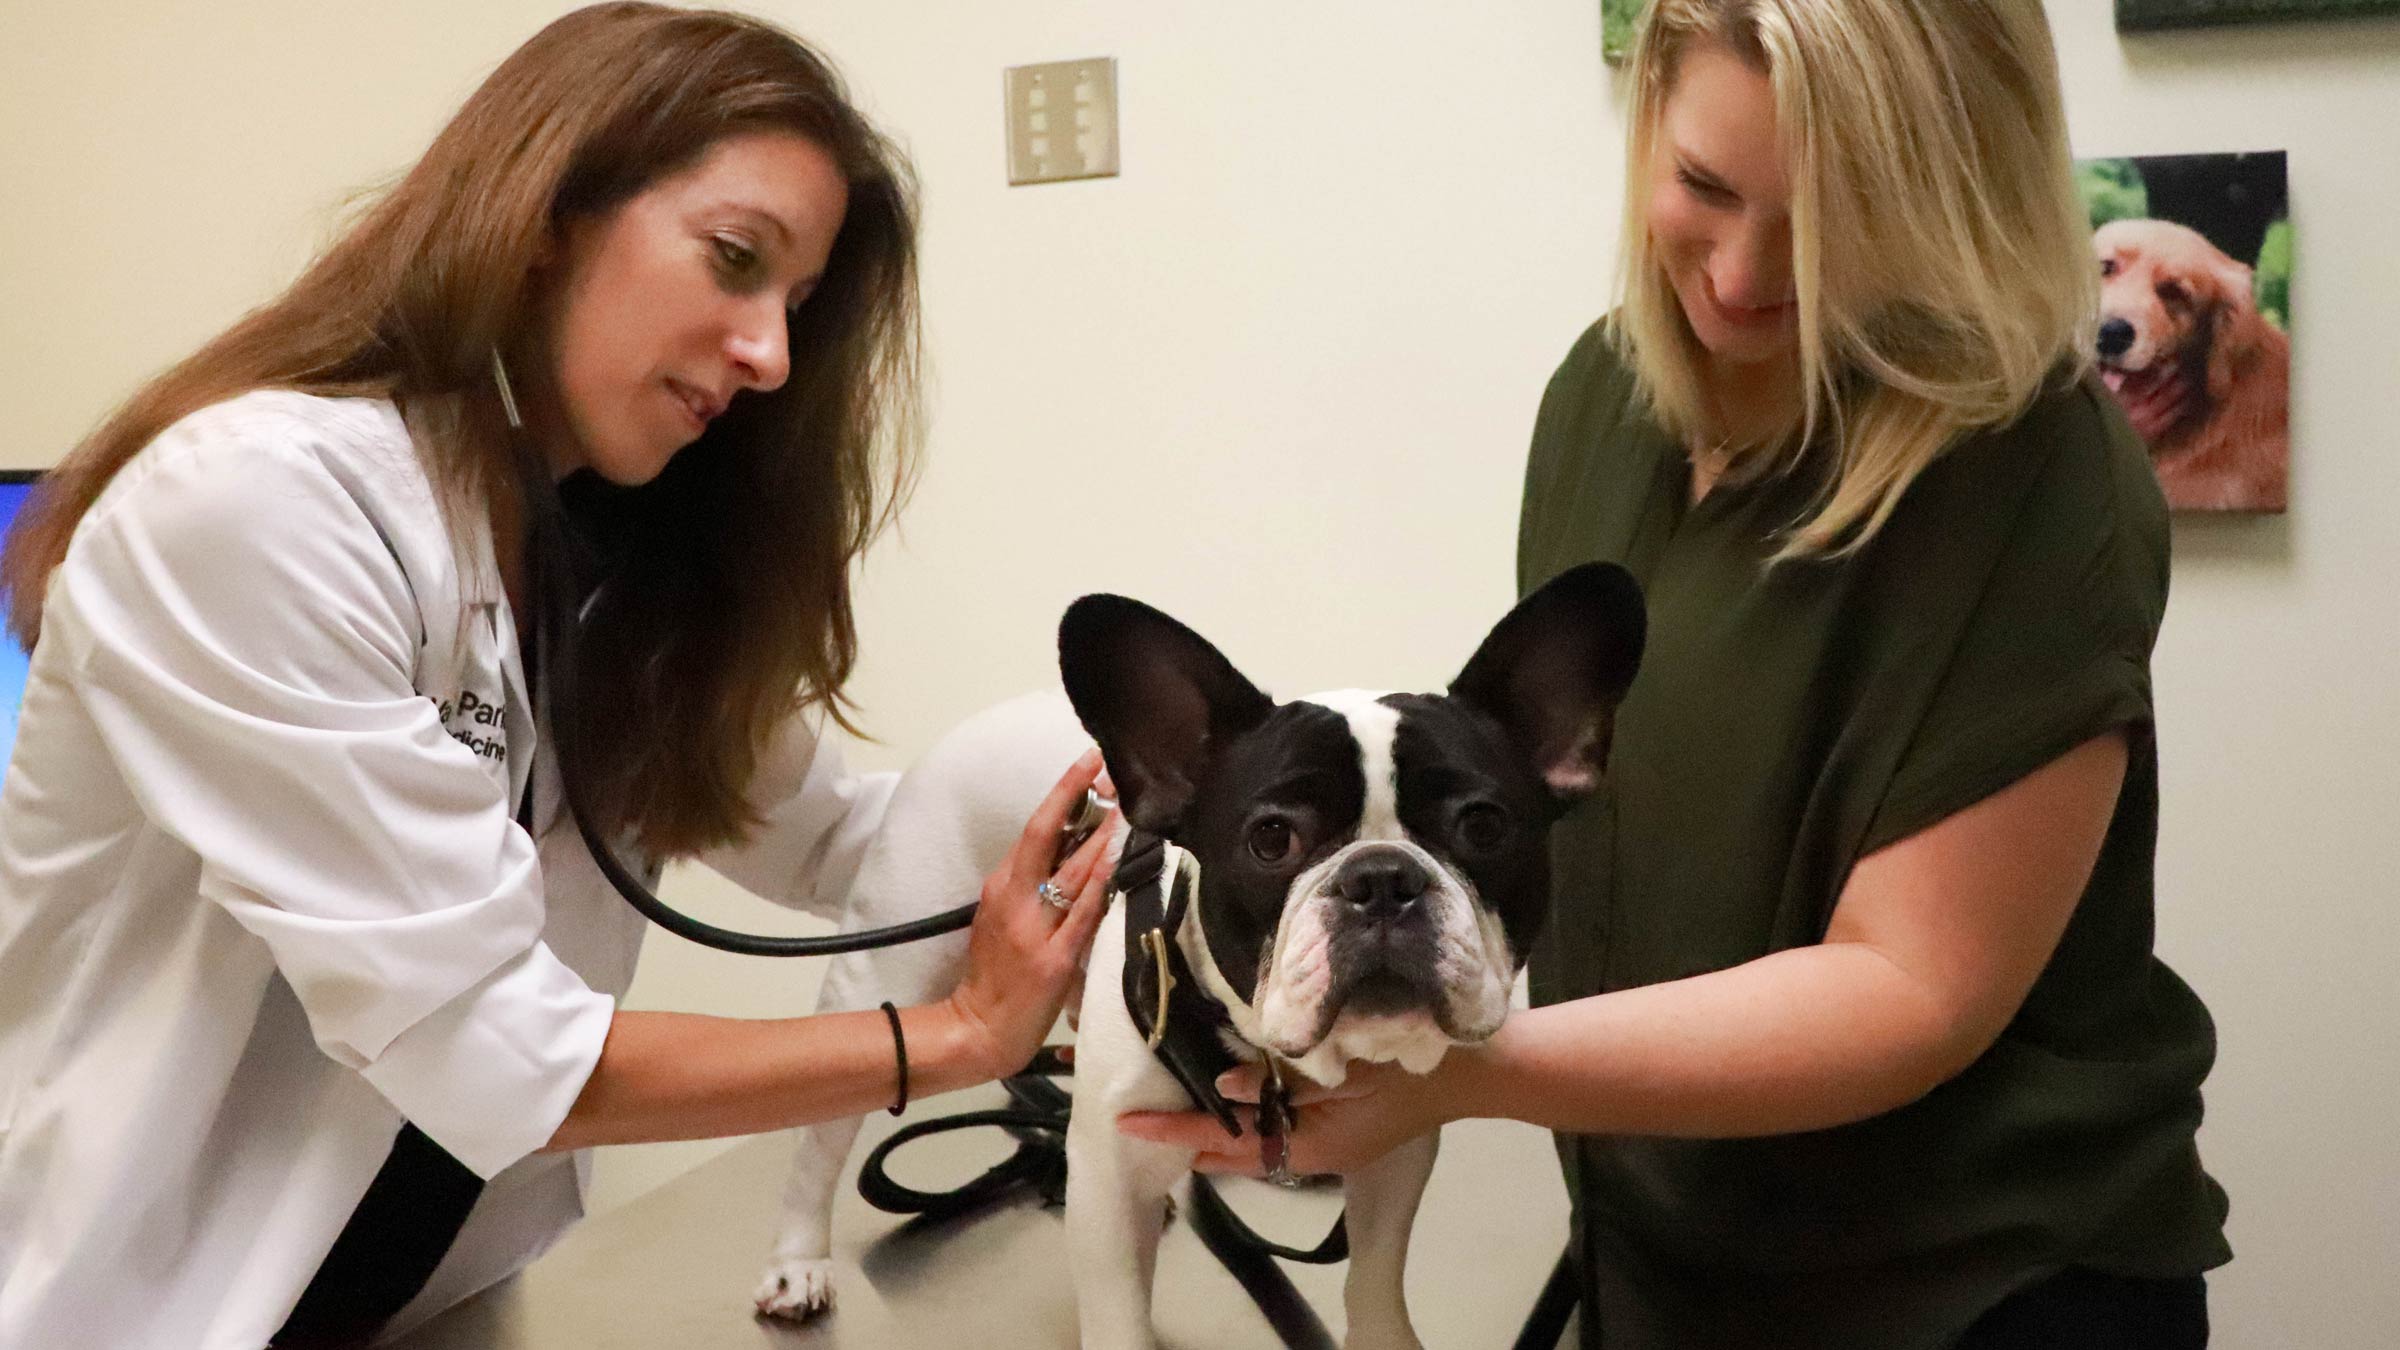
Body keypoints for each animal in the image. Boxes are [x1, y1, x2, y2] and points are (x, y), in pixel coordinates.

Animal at [758, 562, 1641, 1335]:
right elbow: (1118, 1315)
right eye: (1272, 839)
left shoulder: (1391, 1148)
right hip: (892, 964)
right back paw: (797, 1258)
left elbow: (1374, 1277)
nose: (1382, 878)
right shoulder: (1108, 1182)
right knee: (824, 1133)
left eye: (1484, 828)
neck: (1272, 1062)